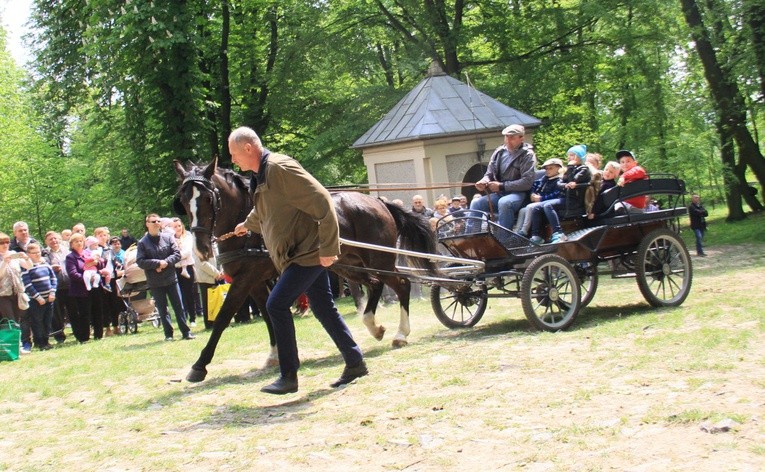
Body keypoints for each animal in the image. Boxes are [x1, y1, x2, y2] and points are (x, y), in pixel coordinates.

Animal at [172, 157, 436, 382]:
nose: (201, 249)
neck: (249, 229)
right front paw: (274, 354)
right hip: (348, 265)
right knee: (375, 284)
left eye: (208, 198)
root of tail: (377, 201)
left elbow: (224, 317)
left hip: (380, 260)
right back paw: (373, 325)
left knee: (402, 284)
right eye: (184, 201)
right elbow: (267, 313)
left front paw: (199, 366)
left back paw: (400, 333)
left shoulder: (246, 278)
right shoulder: (254, 281)